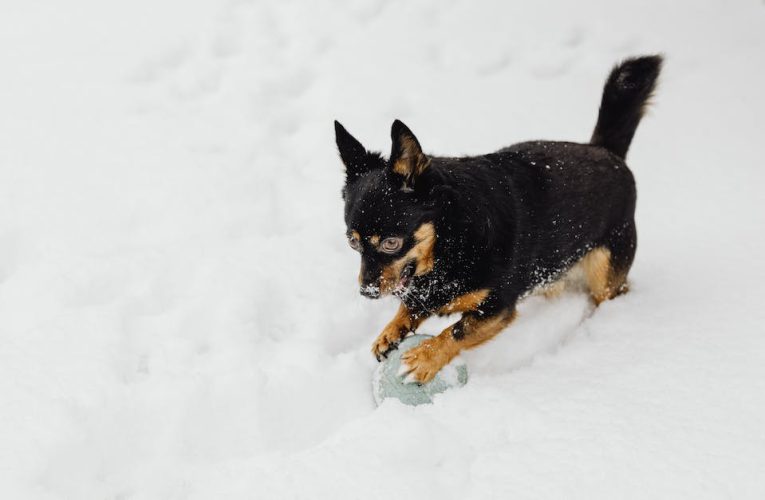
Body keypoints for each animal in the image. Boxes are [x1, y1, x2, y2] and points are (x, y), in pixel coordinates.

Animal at [334, 54, 664, 382]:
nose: (366, 291)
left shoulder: (498, 307)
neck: (450, 238)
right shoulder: (425, 289)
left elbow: (457, 330)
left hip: (604, 274)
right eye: (352, 243)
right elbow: (411, 306)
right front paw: (391, 331)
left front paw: (425, 357)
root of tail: (607, 151)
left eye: (391, 243)